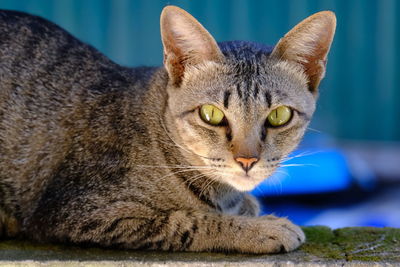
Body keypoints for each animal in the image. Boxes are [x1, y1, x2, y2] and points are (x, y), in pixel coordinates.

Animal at [0, 5, 336, 254]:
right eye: (211, 114)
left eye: (279, 116)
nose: (247, 161)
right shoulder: (75, 211)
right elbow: (189, 222)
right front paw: (263, 228)